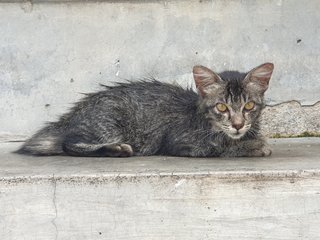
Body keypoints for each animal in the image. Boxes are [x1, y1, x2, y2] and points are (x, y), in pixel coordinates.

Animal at [16, 62, 274, 158]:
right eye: (222, 106)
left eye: (249, 106)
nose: (238, 124)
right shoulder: (180, 143)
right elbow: (220, 148)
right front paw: (254, 146)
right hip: (111, 121)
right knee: (68, 144)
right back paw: (116, 149)